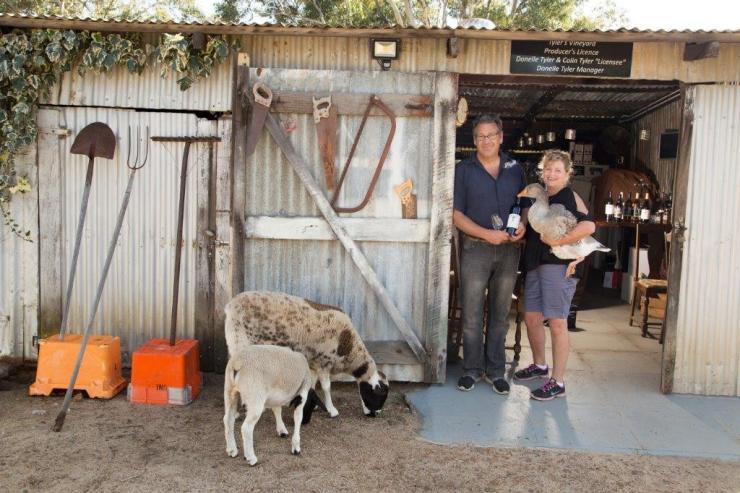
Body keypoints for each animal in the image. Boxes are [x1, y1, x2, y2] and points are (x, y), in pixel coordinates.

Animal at [223, 290, 390, 418]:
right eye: (379, 393)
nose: (375, 414)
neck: (348, 347)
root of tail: (230, 305)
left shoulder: (314, 363)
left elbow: (313, 382)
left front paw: (313, 404)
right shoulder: (324, 361)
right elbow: (327, 387)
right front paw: (332, 410)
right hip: (239, 342)